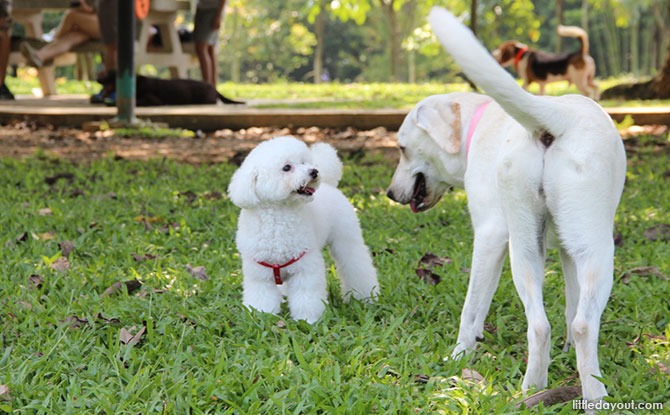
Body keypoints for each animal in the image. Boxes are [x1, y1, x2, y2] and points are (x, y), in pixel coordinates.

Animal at [388, 6, 632, 408]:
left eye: (402, 148)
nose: (391, 194)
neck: (477, 124)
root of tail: (554, 119)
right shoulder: (550, 248)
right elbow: (564, 306)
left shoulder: (498, 238)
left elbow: (477, 308)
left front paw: (460, 355)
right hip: (567, 249)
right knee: (572, 324)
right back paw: (574, 390)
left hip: (537, 249)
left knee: (551, 324)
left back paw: (552, 388)